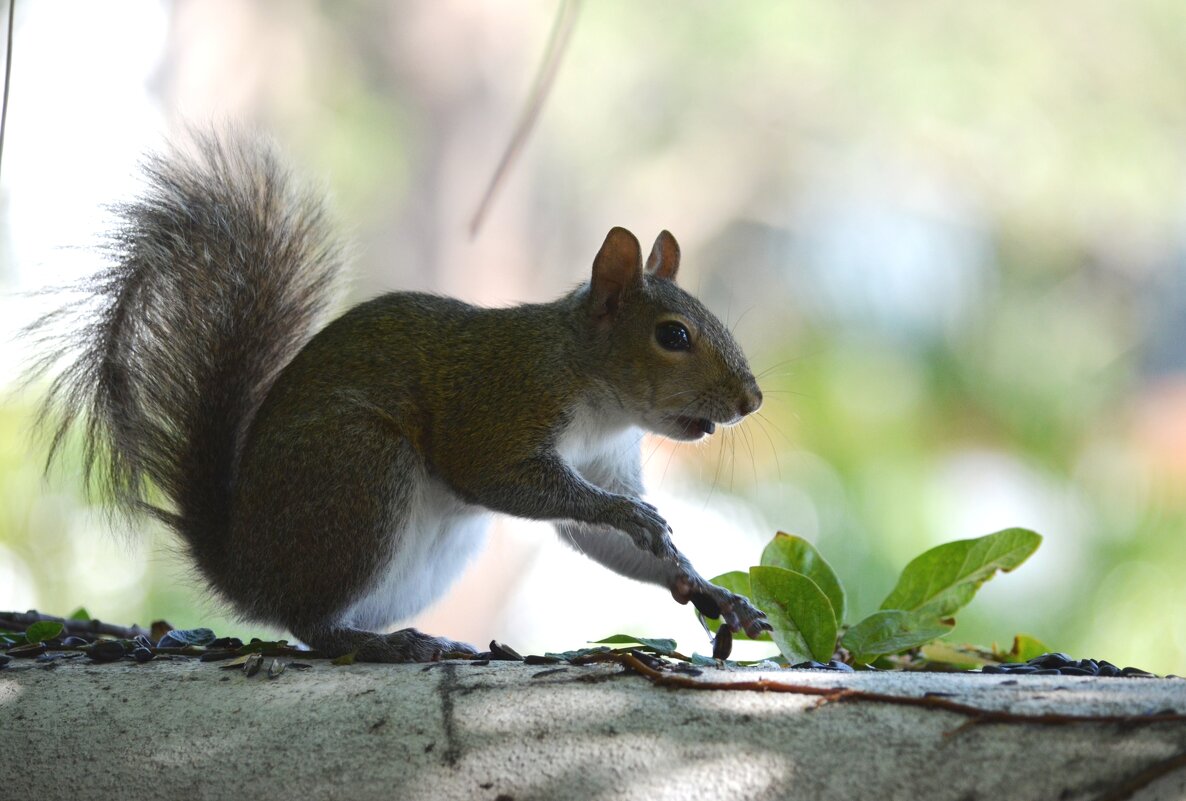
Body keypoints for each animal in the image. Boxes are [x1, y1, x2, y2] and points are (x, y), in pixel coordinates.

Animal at [32, 129, 773, 659]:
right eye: (673, 335)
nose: (751, 401)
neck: (596, 393)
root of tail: (243, 567)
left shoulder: (604, 455)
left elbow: (597, 536)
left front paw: (704, 585)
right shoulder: (501, 405)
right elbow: (507, 479)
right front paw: (628, 513)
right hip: (360, 473)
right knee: (309, 622)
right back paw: (385, 644)